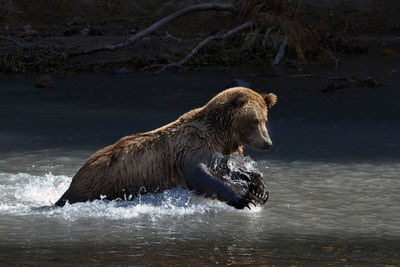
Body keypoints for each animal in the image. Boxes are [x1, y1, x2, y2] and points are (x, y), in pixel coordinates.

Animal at [54, 87, 276, 209]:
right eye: (255, 120)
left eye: (265, 119)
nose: (268, 143)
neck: (223, 134)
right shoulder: (193, 146)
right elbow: (199, 172)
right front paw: (244, 197)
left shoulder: (226, 150)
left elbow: (234, 168)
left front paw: (260, 189)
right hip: (103, 181)